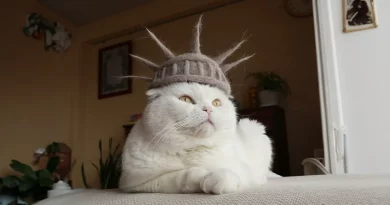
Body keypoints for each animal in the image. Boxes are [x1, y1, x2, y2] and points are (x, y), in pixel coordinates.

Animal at [119, 82, 274, 195]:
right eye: (185, 99)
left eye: (216, 103)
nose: (208, 109)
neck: (190, 149)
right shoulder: (136, 184)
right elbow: (182, 176)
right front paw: (202, 177)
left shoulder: (242, 170)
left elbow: (231, 175)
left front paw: (217, 180)